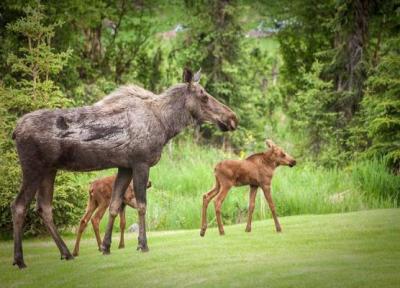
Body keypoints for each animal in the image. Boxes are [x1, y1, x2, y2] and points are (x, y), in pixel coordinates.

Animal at [10, 68, 238, 268]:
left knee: (44, 207)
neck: (166, 124)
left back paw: (66, 253)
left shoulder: (125, 166)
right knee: (19, 205)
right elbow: (142, 205)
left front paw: (106, 247)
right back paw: (20, 260)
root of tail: (15, 131)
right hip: (33, 167)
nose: (232, 118)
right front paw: (142, 244)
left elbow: (114, 205)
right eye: (203, 96)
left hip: (49, 169)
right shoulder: (140, 163)